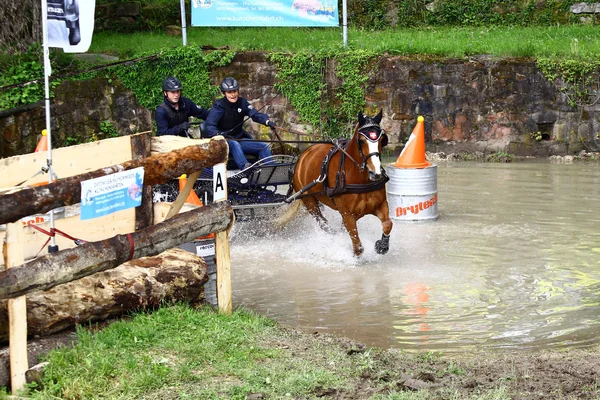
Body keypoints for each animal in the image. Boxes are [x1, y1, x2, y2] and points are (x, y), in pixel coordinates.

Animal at [288, 109, 394, 256]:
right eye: (362, 141)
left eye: (382, 140)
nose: (376, 173)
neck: (358, 178)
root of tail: (304, 154)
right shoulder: (347, 214)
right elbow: (358, 246)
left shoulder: (380, 204)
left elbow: (388, 224)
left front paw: (382, 246)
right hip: (309, 202)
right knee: (323, 223)